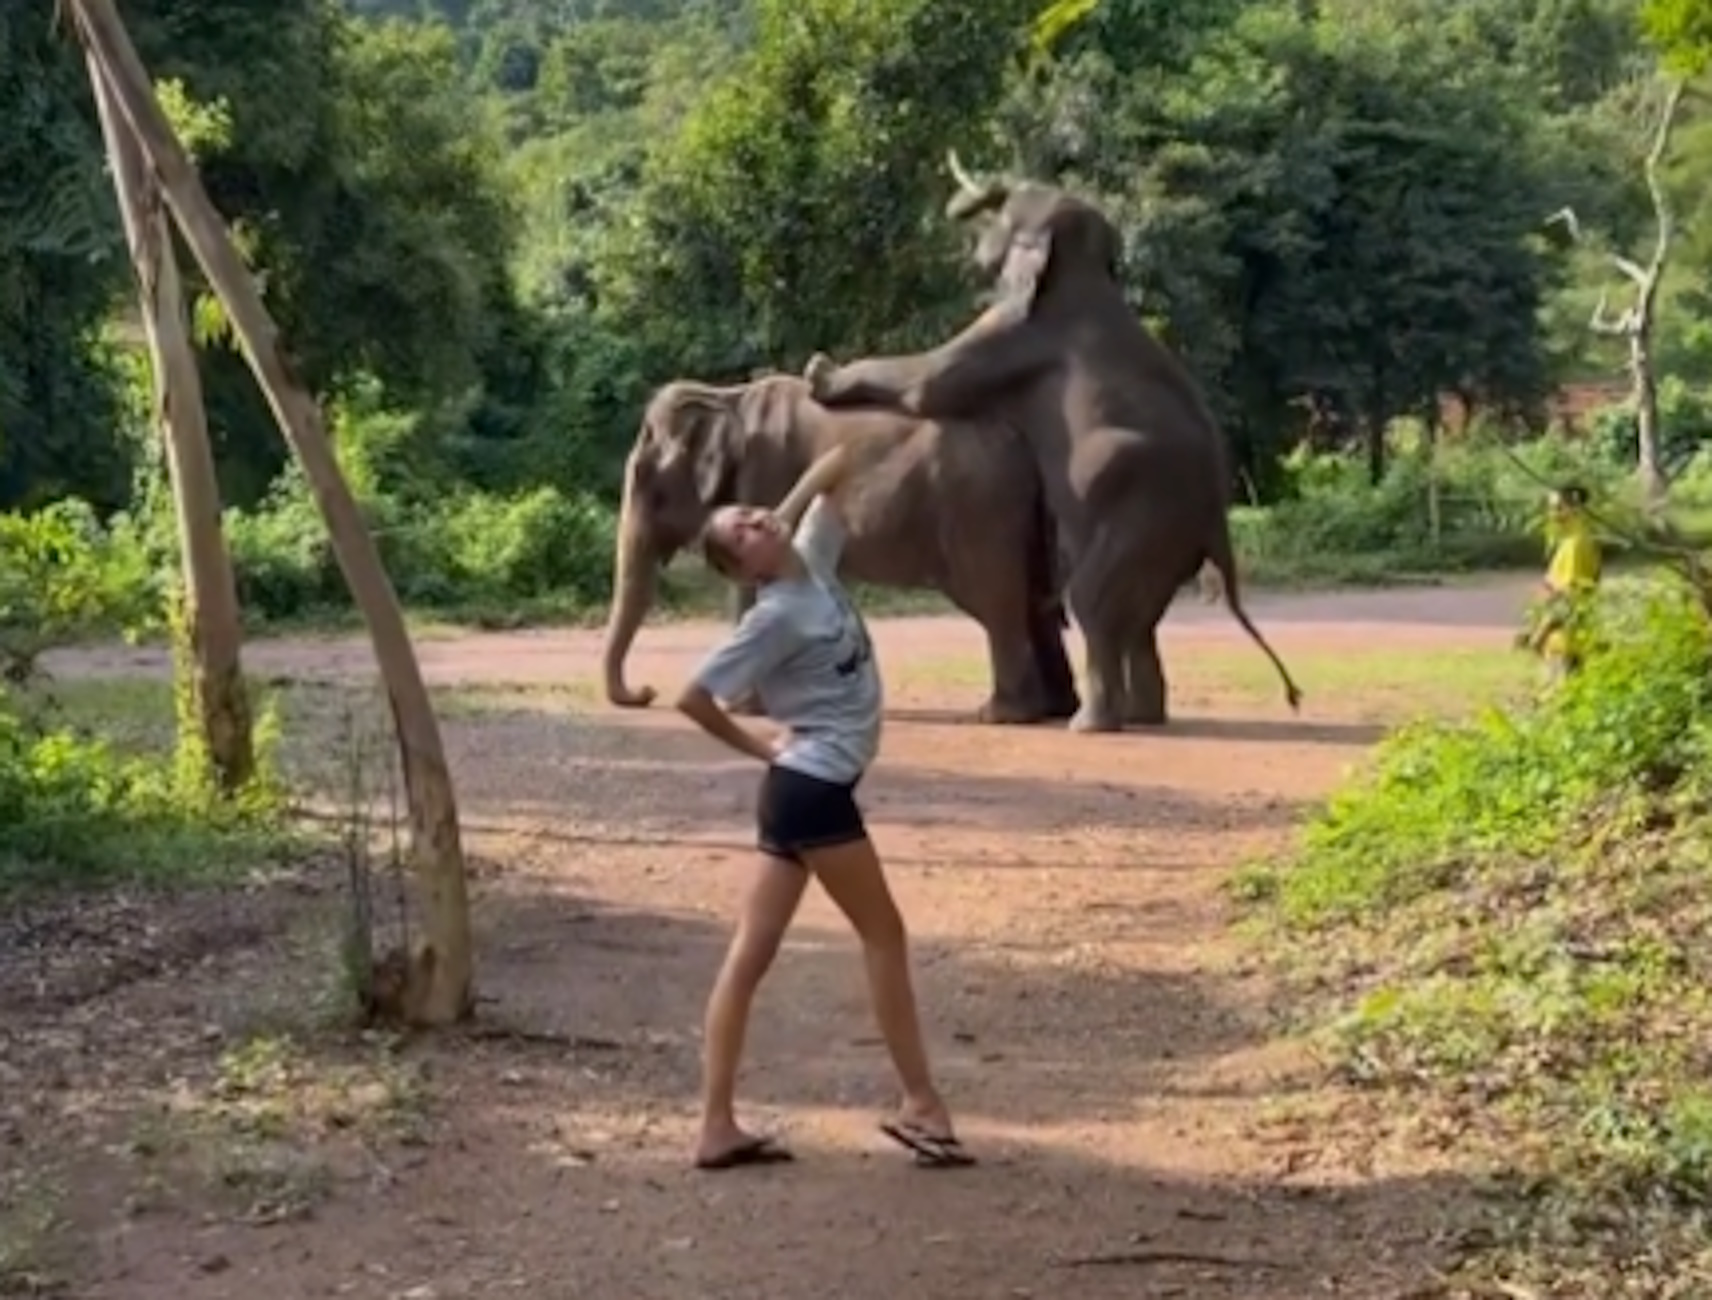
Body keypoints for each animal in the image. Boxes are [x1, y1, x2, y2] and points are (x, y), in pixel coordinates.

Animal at [606, 371, 1081, 726]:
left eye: (647, 482)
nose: (646, 692)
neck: (727, 397)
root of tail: (1028, 450)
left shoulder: (765, 475)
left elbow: (751, 590)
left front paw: (742, 711)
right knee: (1033, 603)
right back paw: (1055, 710)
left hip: (981, 513)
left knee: (998, 602)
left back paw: (1001, 715)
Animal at [801, 155, 1294, 733]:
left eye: (1012, 206)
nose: (966, 203)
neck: (1084, 267)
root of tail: (1216, 521)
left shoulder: (1015, 333)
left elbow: (930, 383)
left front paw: (819, 373)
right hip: (1166, 539)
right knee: (1142, 619)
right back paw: (1142, 717)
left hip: (1144, 518)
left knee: (1093, 600)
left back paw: (1092, 725)